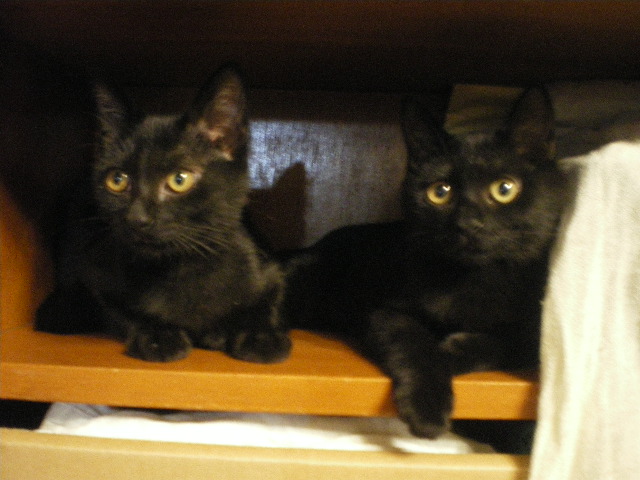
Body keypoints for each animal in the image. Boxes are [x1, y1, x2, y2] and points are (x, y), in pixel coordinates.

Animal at [35, 66, 291, 364]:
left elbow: (268, 303)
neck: (181, 267)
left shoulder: (270, 272)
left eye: (179, 179)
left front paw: (260, 336)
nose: (137, 219)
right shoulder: (98, 272)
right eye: (117, 180)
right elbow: (122, 312)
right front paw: (157, 335)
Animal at [283, 87, 566, 437]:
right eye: (439, 192)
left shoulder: (535, 330)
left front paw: (452, 350)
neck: (471, 279)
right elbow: (413, 342)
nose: (466, 223)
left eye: (505, 188)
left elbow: (508, 343)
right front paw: (426, 407)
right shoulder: (386, 311)